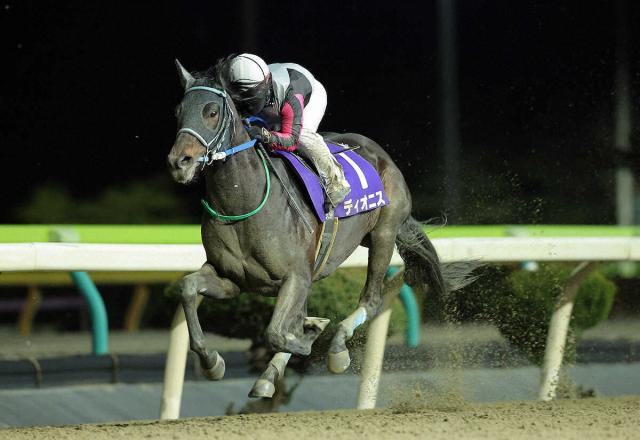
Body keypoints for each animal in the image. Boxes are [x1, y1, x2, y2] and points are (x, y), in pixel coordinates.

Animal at [167, 59, 473, 399]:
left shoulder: (296, 276)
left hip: (384, 233)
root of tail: (380, 155)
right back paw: (272, 372)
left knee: (370, 300)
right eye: (178, 111)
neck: (243, 203)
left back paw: (336, 347)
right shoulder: (233, 279)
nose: (179, 162)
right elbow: (188, 288)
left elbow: (279, 332)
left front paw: (310, 335)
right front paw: (212, 362)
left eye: (211, 111)